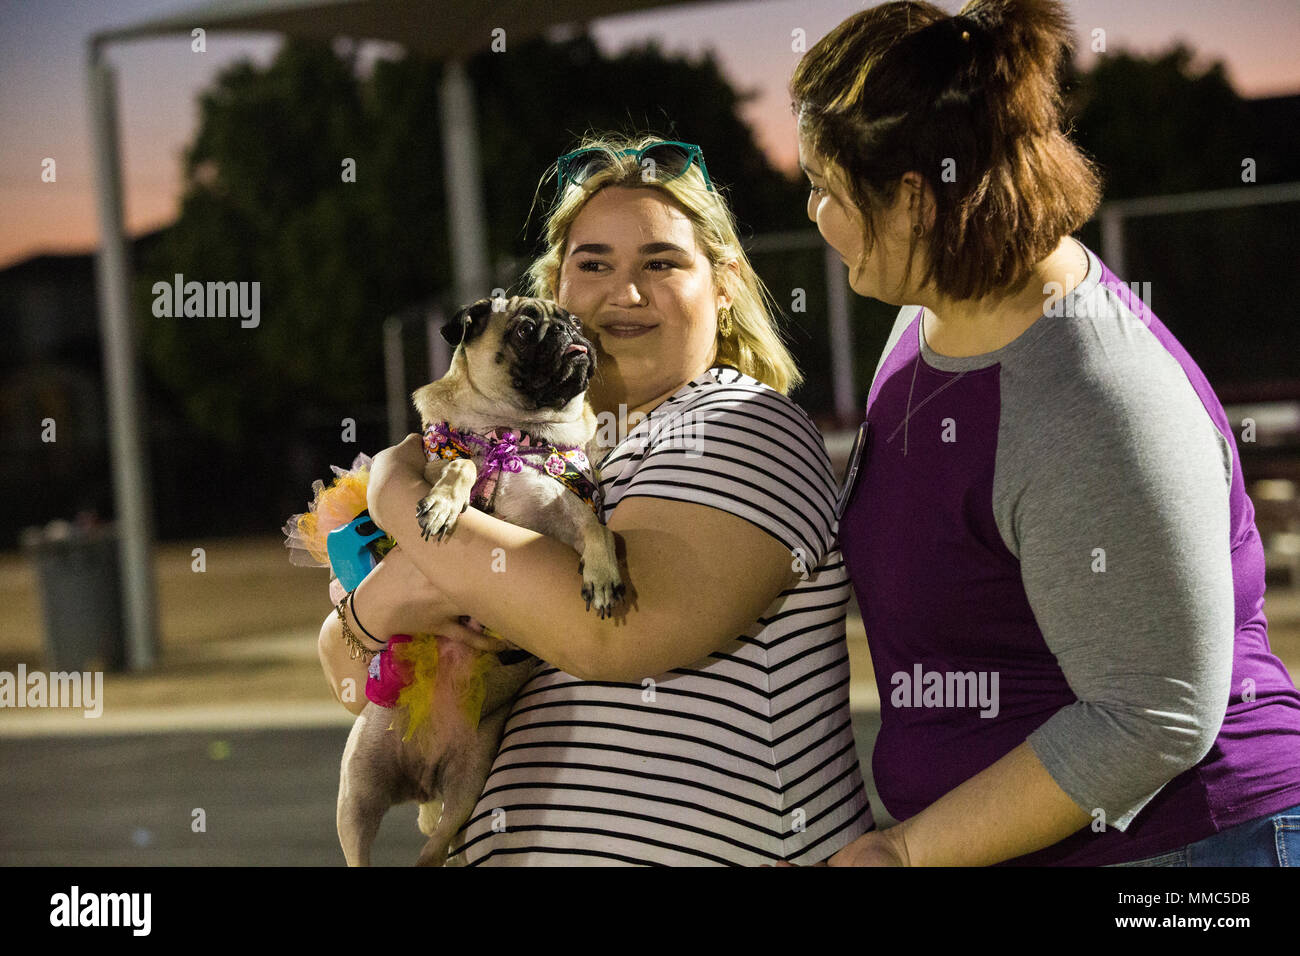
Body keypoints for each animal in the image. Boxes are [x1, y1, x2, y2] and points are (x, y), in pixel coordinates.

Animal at [338, 297, 626, 868]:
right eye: (525, 330)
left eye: (573, 321)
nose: (570, 332)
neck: (515, 433)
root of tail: (423, 782)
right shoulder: (439, 467)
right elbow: (464, 465)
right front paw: (446, 503)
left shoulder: (565, 513)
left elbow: (595, 527)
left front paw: (603, 574)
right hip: (357, 794)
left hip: (466, 788)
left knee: (432, 854)